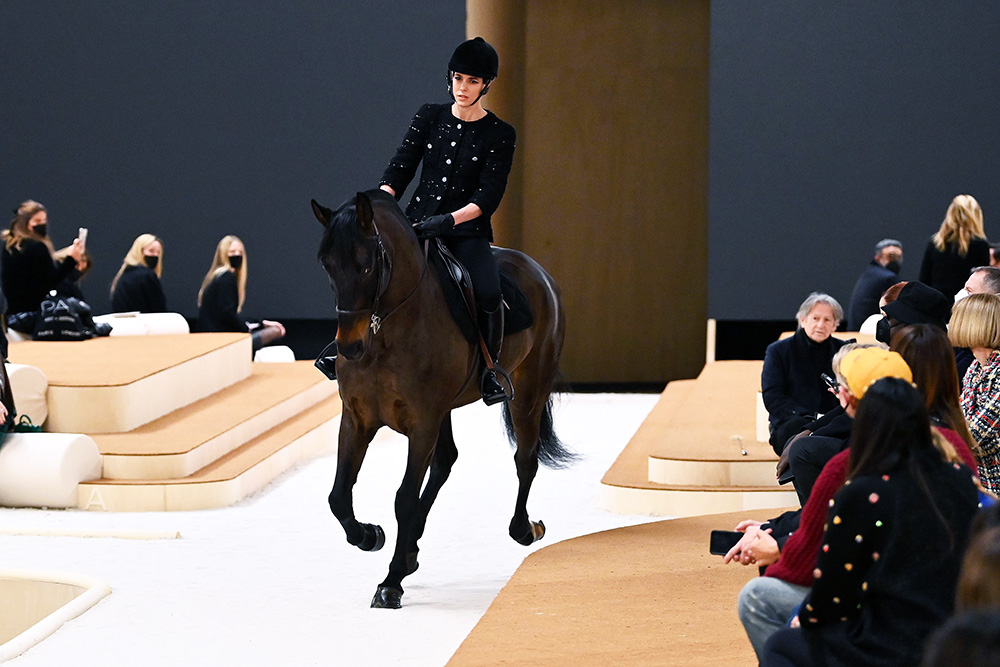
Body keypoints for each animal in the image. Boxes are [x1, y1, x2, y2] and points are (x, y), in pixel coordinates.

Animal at [312, 190, 576, 608]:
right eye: (327, 265)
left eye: (367, 265)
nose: (349, 347)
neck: (385, 331)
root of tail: (540, 273)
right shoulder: (357, 417)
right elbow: (338, 495)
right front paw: (371, 536)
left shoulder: (422, 422)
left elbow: (404, 498)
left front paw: (390, 582)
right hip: (446, 410)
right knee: (446, 461)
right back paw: (411, 551)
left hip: (528, 392)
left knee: (525, 459)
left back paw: (525, 529)